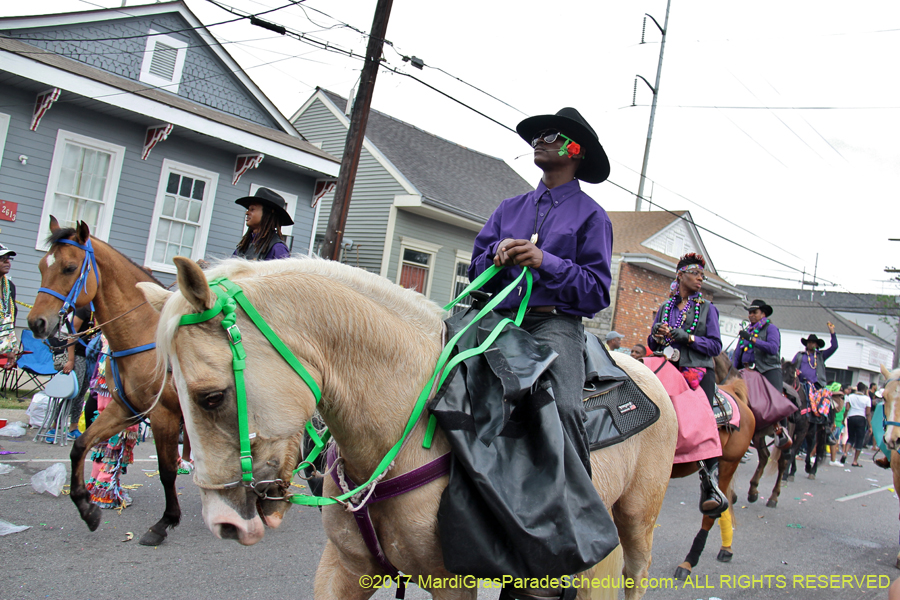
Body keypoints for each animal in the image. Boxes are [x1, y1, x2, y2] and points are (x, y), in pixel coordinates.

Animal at [27, 218, 185, 548]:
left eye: (69, 268)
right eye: (41, 266)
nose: (36, 323)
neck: (145, 336)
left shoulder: (164, 414)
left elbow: (167, 470)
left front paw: (165, 521)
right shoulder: (127, 409)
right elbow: (80, 446)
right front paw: (87, 507)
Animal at [139, 256, 676, 600]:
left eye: (211, 397)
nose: (223, 523)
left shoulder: (452, 583)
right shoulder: (344, 569)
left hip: (637, 523)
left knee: (634, 576)